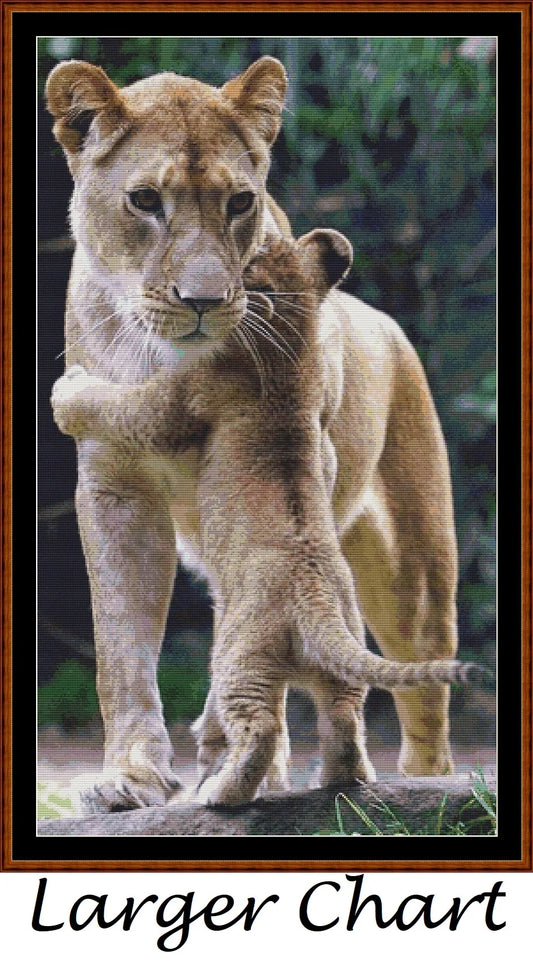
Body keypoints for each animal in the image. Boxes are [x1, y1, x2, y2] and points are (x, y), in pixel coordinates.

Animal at [46, 57, 480, 812]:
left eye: (239, 203)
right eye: (144, 201)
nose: (204, 300)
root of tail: (388, 324)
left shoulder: (203, 408)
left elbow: (125, 402)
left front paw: (66, 391)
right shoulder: (115, 488)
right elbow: (120, 649)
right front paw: (131, 775)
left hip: (414, 576)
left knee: (420, 697)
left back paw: (404, 780)